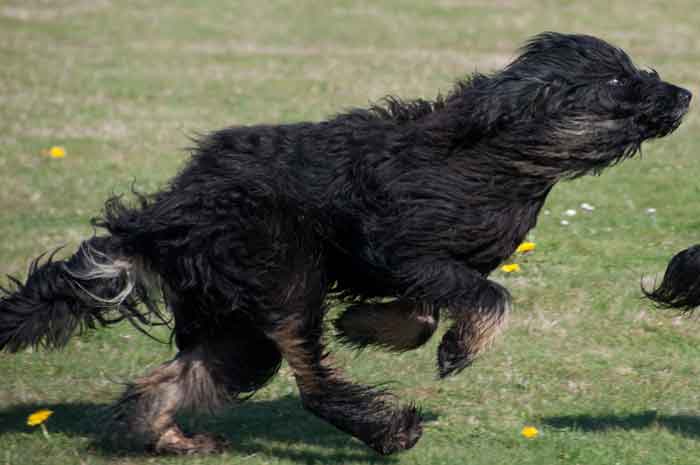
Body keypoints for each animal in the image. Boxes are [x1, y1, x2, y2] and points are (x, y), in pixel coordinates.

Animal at [0, 33, 688, 454]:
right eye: (618, 80)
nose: (683, 93)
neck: (500, 156)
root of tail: (163, 217)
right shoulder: (403, 249)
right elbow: (487, 298)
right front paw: (457, 349)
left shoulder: (421, 268)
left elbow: (421, 314)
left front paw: (366, 325)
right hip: (283, 278)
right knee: (311, 382)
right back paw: (388, 432)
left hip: (235, 321)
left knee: (180, 375)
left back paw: (170, 439)